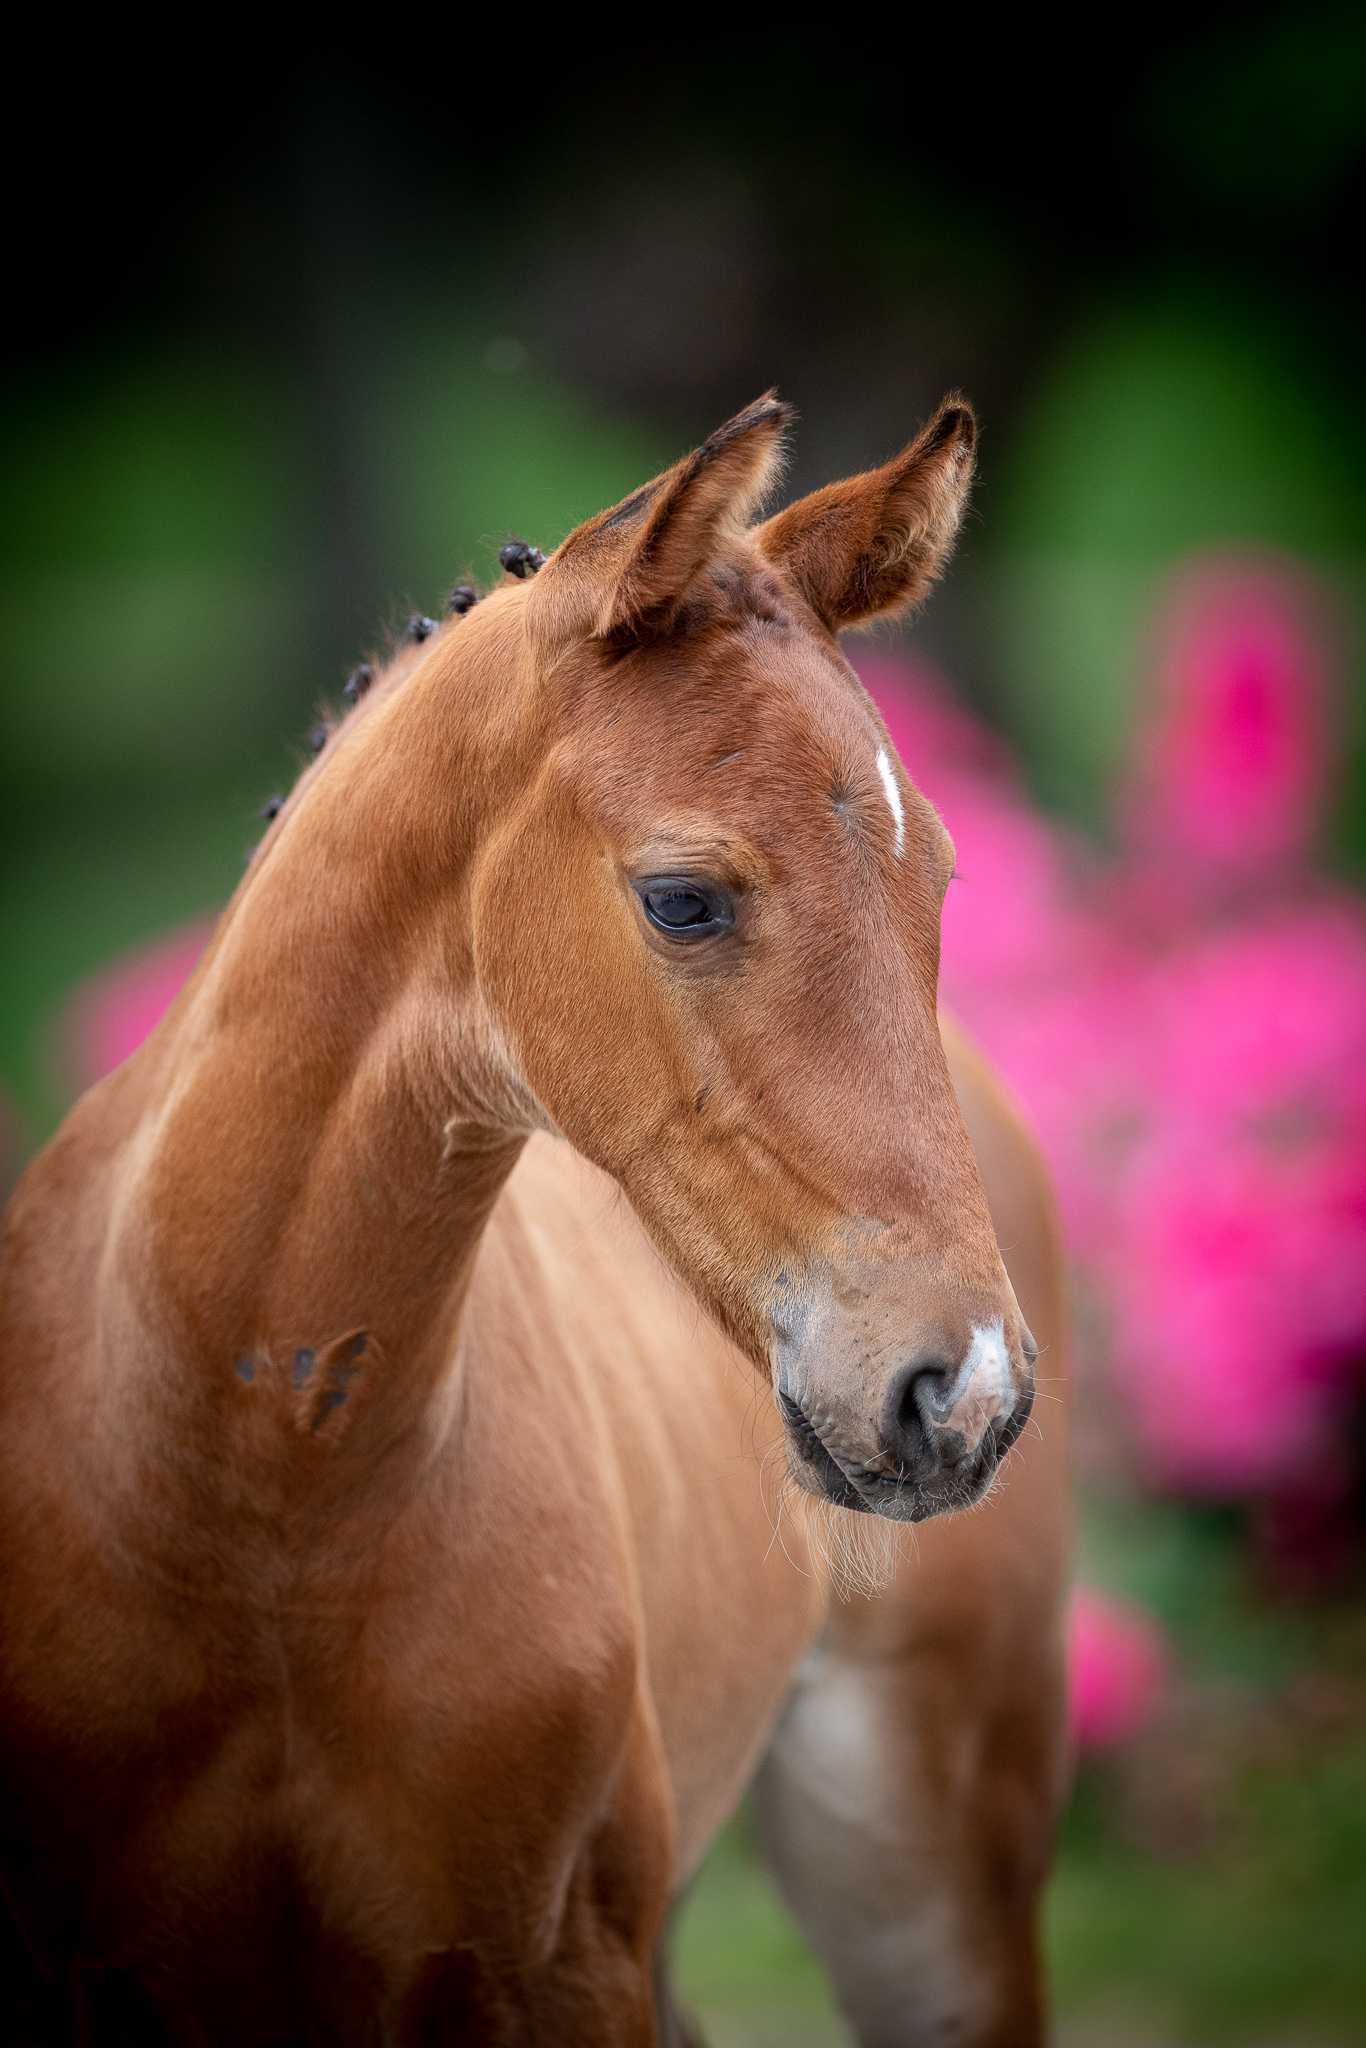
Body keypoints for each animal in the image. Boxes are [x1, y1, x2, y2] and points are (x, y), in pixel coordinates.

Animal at [0, 392, 1071, 2045]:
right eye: (683, 898)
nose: (962, 1392)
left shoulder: (561, 1971)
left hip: (927, 1877)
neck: (242, 1499)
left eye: (940, 878)